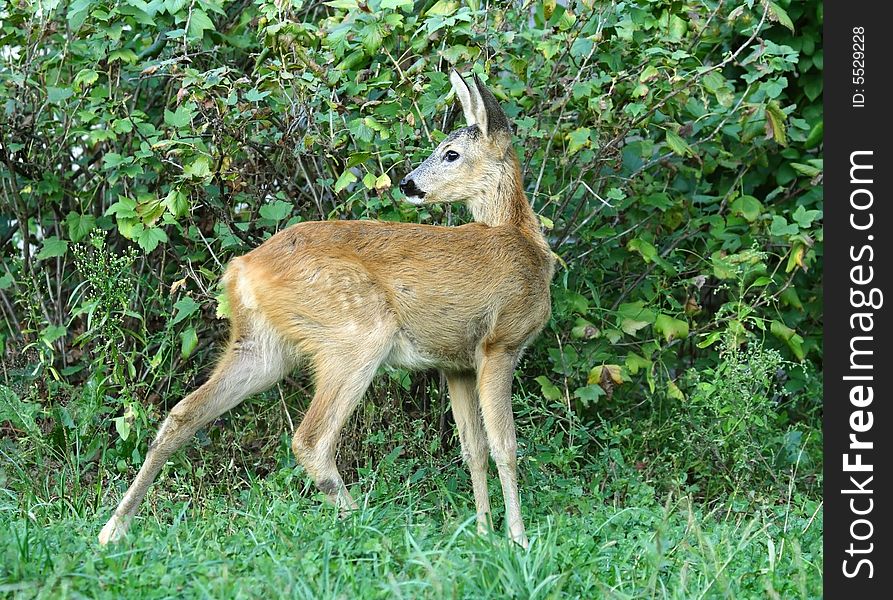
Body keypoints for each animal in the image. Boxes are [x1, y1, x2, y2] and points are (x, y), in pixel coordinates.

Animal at [101, 69, 556, 548]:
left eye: (451, 153)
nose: (408, 184)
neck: (523, 241)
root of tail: (242, 267)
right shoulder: (500, 342)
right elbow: (506, 446)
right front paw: (517, 539)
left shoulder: (457, 363)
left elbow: (474, 449)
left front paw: (483, 533)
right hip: (356, 333)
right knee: (310, 440)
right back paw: (371, 529)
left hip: (261, 346)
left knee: (182, 412)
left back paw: (113, 529)